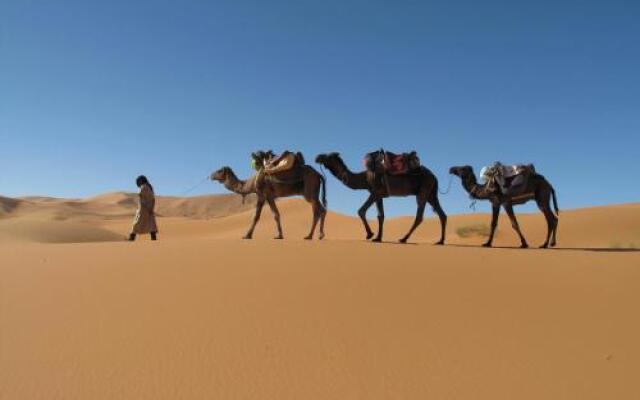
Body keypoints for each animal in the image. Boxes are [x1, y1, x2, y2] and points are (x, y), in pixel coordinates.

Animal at [314, 152, 444, 244]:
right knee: (441, 214)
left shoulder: (375, 192)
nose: (317, 157)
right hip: (431, 193)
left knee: (419, 216)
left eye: (328, 156)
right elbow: (380, 216)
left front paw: (370, 234)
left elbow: (361, 211)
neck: (365, 177)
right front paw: (378, 237)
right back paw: (440, 241)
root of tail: (434, 176)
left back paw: (403, 239)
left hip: (423, 190)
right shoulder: (379, 195)